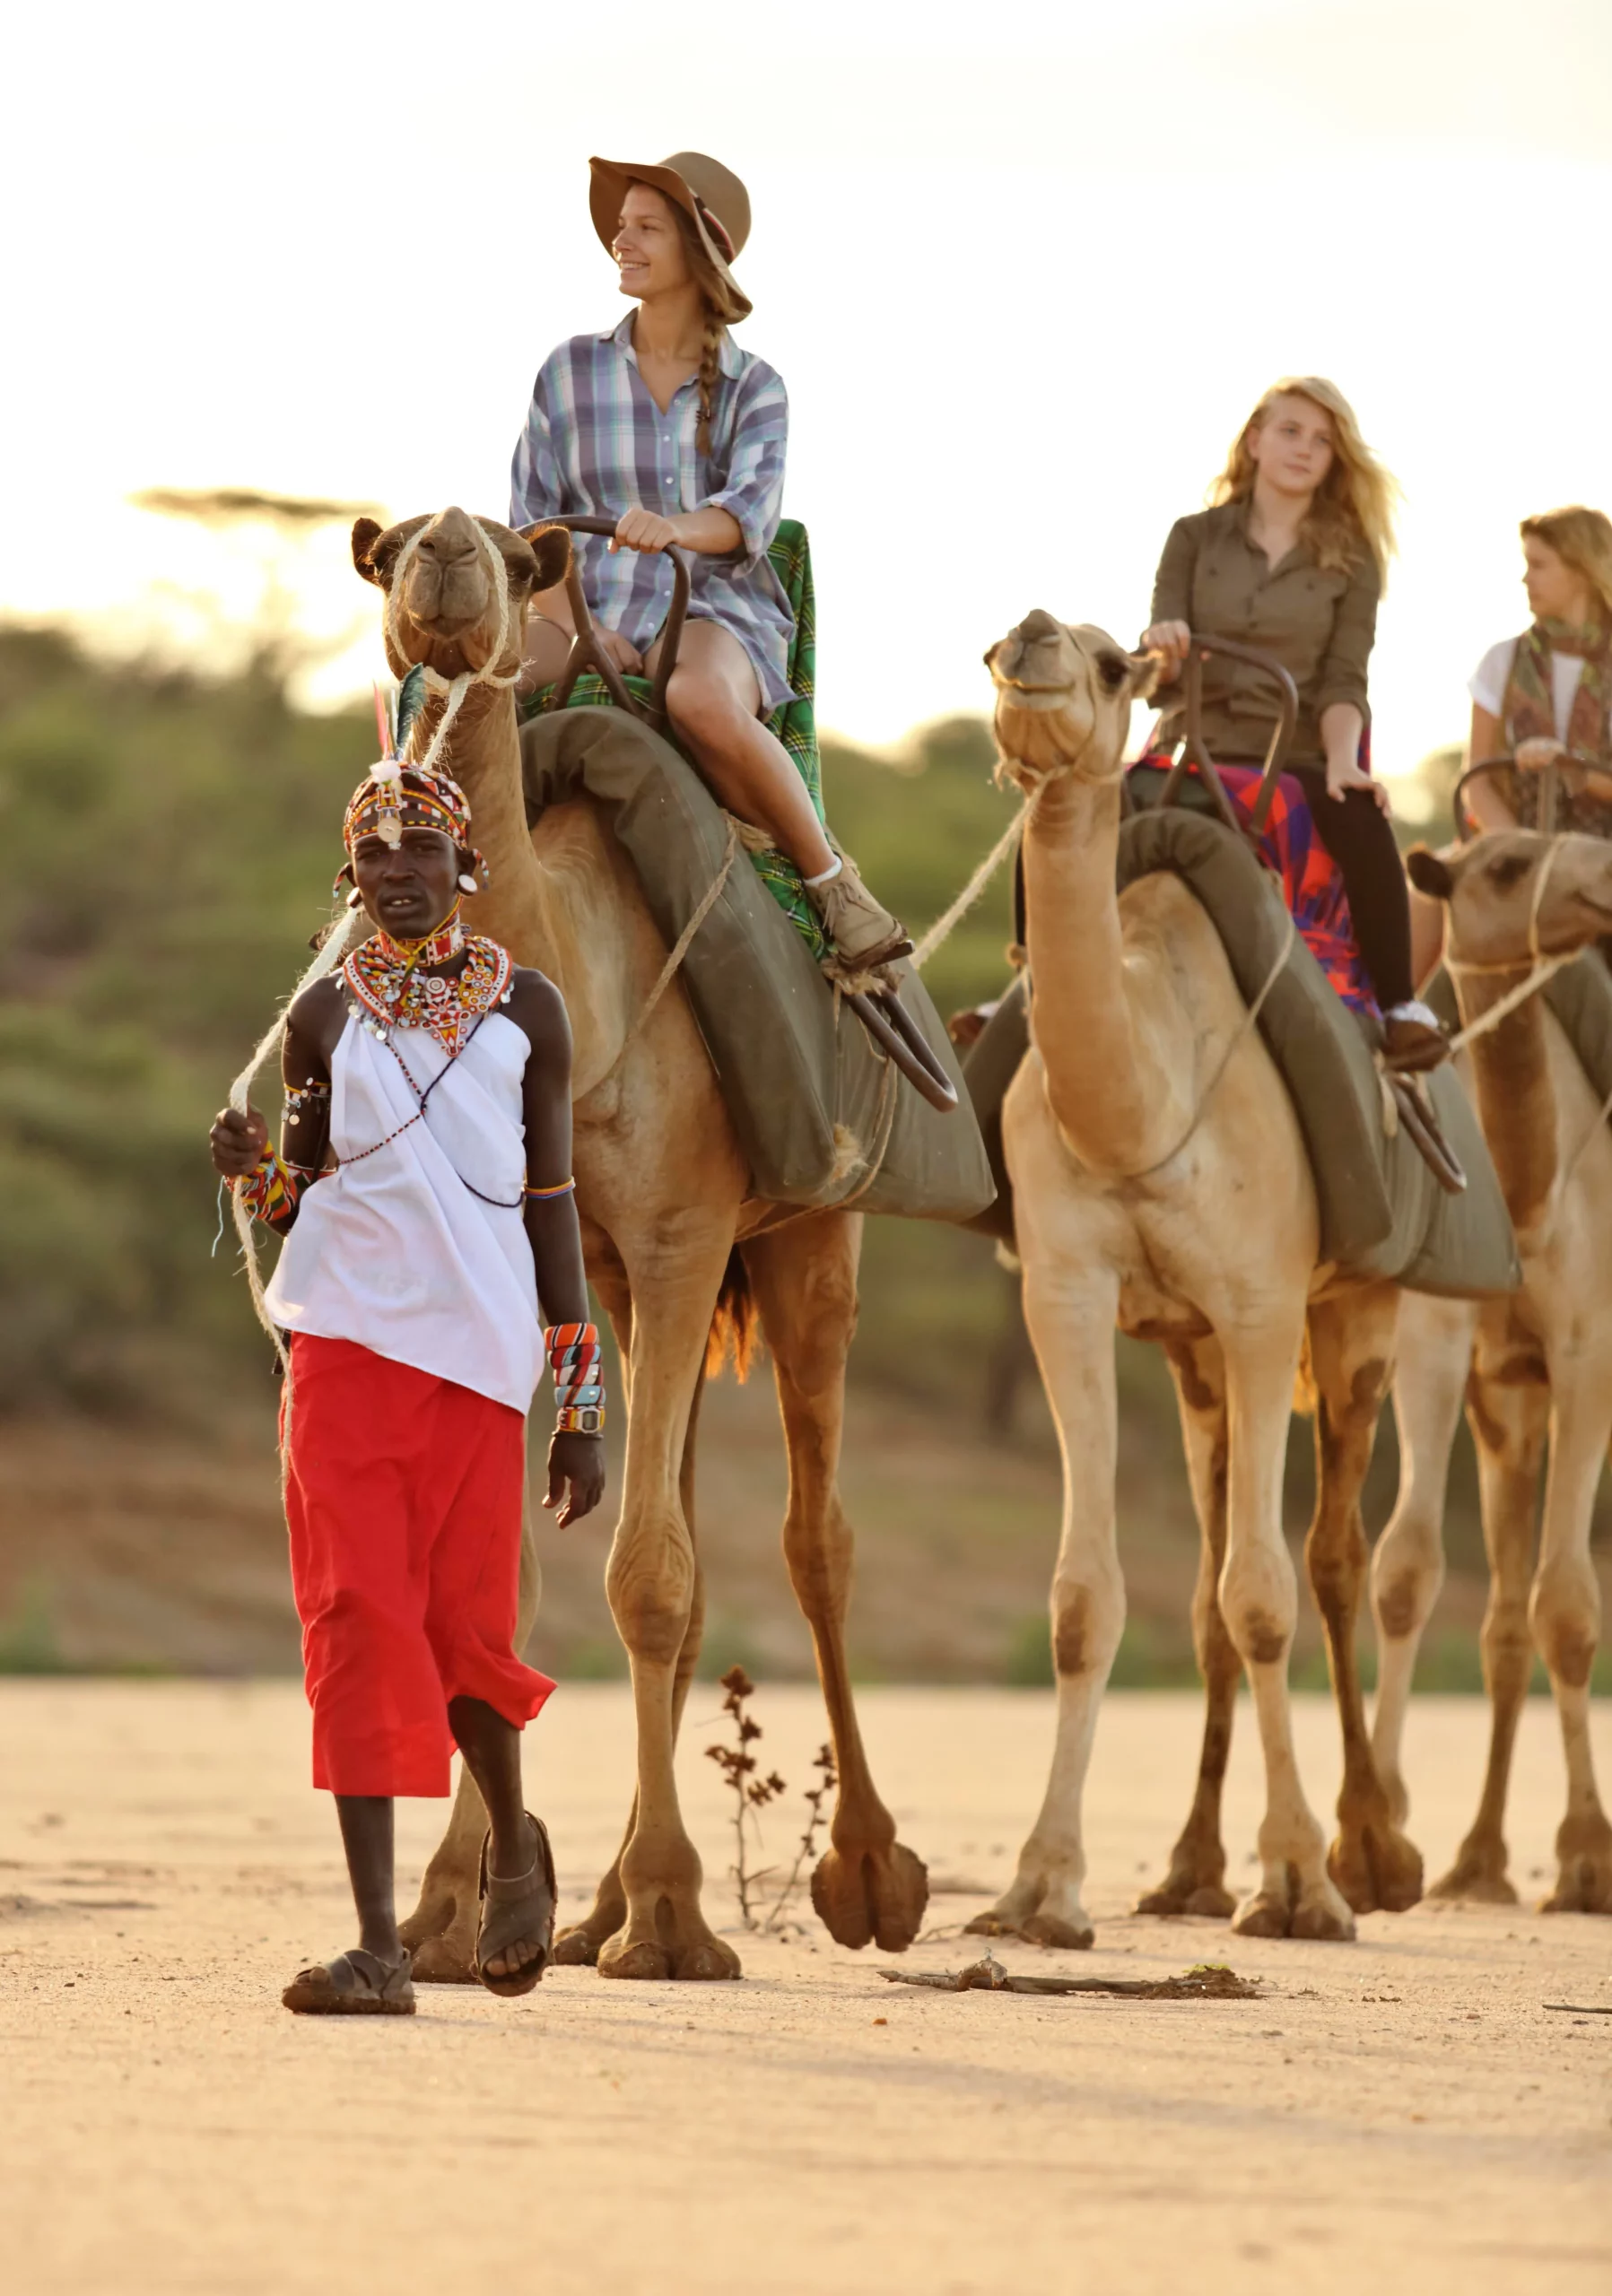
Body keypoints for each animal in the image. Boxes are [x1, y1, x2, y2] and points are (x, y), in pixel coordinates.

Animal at [345, 504, 928, 1979]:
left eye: (509, 551)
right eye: (392, 547)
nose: (447, 548)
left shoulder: (678, 1233)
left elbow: (649, 1577)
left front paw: (669, 1920)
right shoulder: (556, 1266)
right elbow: (501, 1585)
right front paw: (455, 1914)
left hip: (807, 1242)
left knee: (814, 1540)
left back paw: (868, 1878)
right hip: (630, 1281)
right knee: (707, 1540)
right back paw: (595, 1902)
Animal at [967, 609, 1424, 1950]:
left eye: (1116, 661)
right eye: (1000, 645)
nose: (1027, 639)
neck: (1144, 1103)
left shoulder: (1265, 1305)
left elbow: (1266, 1594)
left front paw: (1304, 1885)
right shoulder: (1067, 1296)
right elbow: (1085, 1600)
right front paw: (1040, 1889)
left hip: (1359, 1313)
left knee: (1328, 1560)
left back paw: (1370, 1855)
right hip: (1194, 1361)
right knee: (1213, 1581)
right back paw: (1186, 1871)